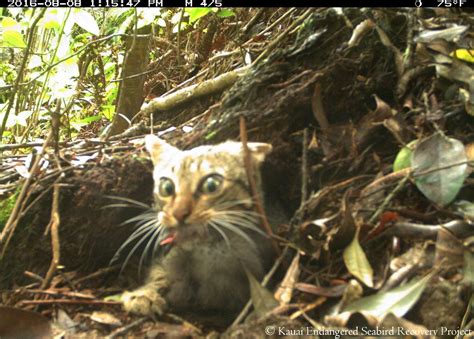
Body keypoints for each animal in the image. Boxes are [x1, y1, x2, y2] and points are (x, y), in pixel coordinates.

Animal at [121, 135, 274, 318]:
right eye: (166, 187)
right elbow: (159, 274)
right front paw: (146, 294)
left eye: (212, 185)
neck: (206, 250)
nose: (179, 213)